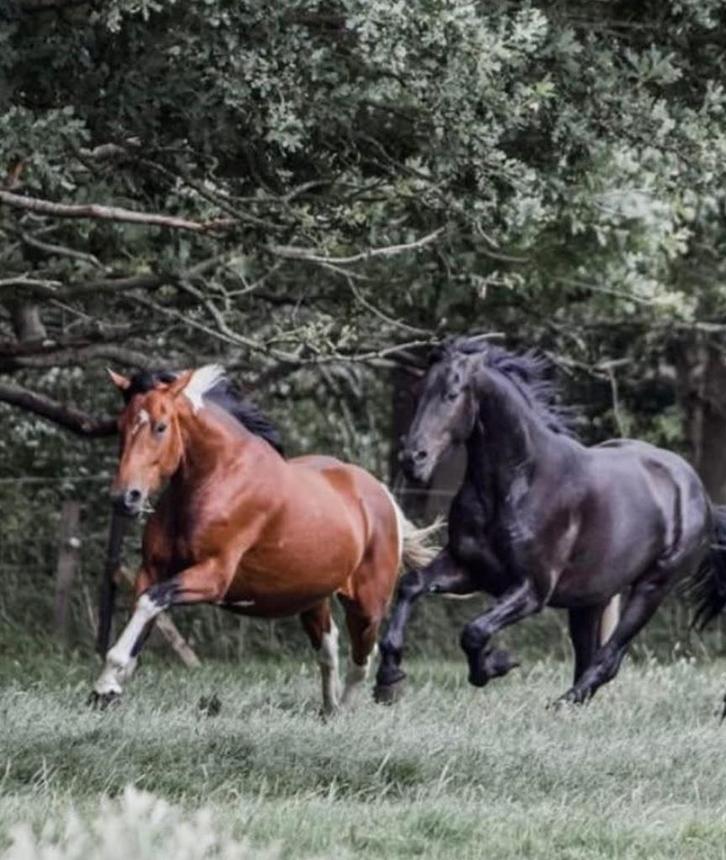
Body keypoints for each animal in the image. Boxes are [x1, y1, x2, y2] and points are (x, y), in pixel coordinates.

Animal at [91, 365, 437, 713]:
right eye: (120, 426)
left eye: (161, 427)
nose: (126, 497)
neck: (218, 477)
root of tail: (381, 494)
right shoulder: (151, 570)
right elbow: (144, 614)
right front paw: (110, 688)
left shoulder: (213, 577)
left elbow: (150, 603)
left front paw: (105, 685)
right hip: (312, 599)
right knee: (329, 648)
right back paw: (328, 711)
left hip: (367, 605)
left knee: (362, 660)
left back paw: (347, 710)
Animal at [375, 336, 726, 705]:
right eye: (419, 392)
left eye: (452, 394)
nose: (413, 459)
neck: (517, 483)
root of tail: (699, 493)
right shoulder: (468, 568)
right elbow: (411, 585)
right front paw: (388, 676)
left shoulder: (533, 589)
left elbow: (474, 631)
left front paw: (497, 664)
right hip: (590, 600)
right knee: (588, 656)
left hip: (652, 587)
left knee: (608, 659)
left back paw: (562, 704)